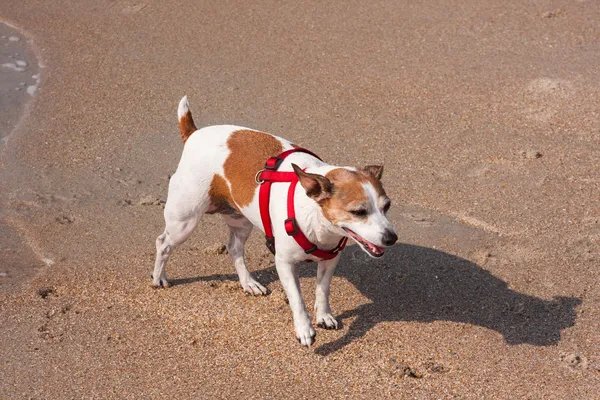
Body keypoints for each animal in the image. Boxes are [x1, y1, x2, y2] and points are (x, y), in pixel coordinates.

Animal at [154, 97, 398, 346]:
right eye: (358, 212)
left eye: (387, 206)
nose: (392, 238)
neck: (316, 217)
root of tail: (194, 133)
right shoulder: (285, 263)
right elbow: (297, 299)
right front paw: (304, 329)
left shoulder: (330, 260)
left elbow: (322, 289)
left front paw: (324, 316)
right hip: (184, 221)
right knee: (163, 243)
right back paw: (159, 278)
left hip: (241, 220)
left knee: (234, 248)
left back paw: (248, 283)